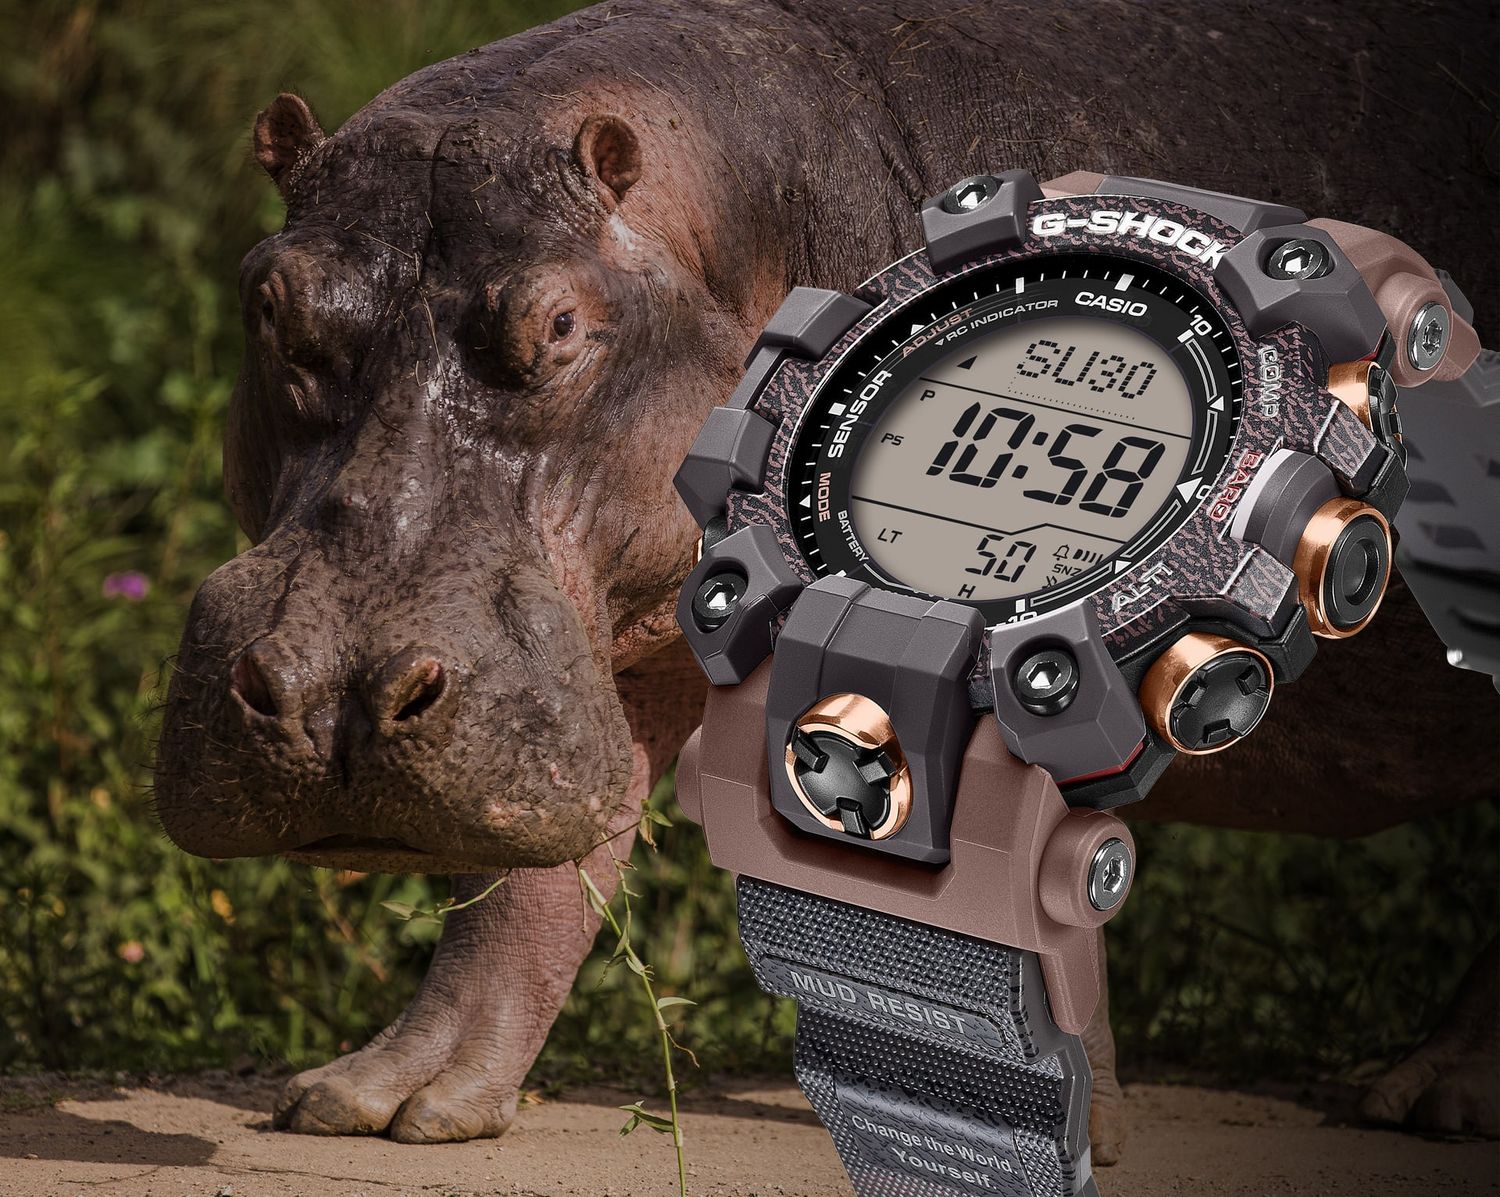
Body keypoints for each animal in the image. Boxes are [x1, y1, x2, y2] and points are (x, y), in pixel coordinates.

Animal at [155, 0, 1499, 1158]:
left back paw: (1435, 1103)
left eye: (563, 324)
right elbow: (530, 884)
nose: (331, 699)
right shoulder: (602, 648)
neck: (718, 212)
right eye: (267, 298)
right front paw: (379, 1103)